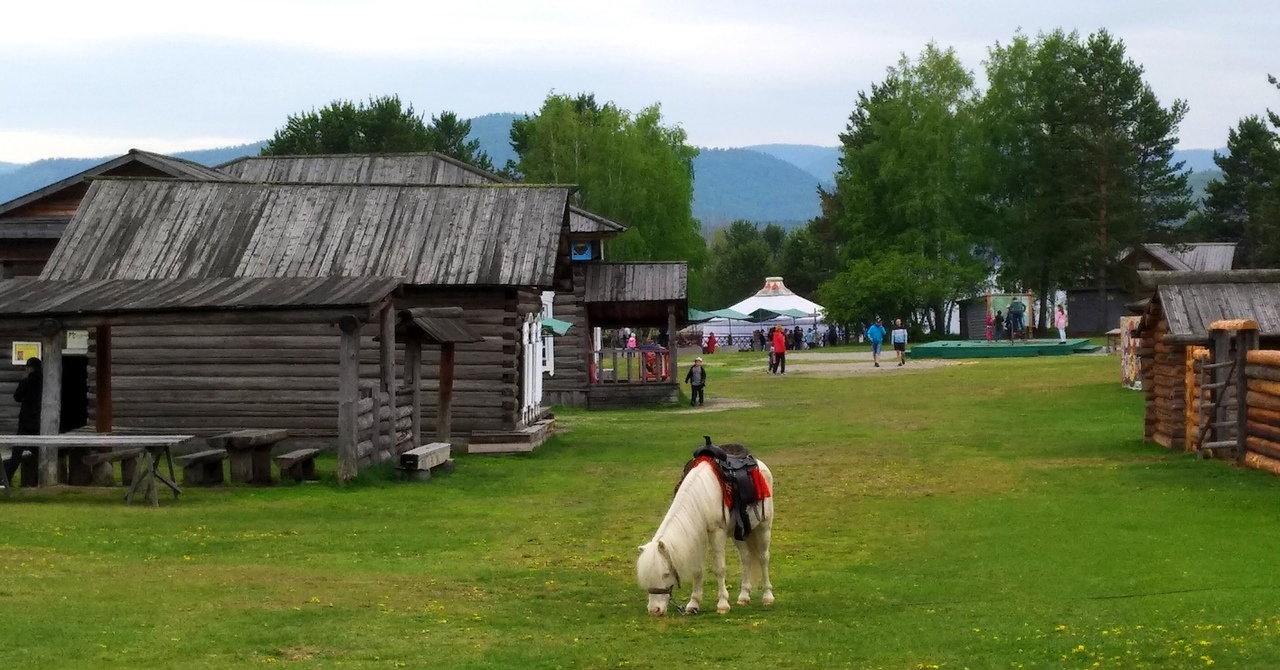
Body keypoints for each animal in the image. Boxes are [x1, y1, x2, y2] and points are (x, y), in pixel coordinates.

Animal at [634, 453, 773, 617]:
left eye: (666, 574)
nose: (654, 610)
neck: (701, 498)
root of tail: (760, 464)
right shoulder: (698, 537)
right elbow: (697, 571)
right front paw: (693, 604)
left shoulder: (717, 533)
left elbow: (719, 569)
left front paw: (723, 604)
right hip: (738, 533)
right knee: (745, 558)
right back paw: (744, 596)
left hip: (764, 527)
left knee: (763, 558)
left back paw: (768, 596)